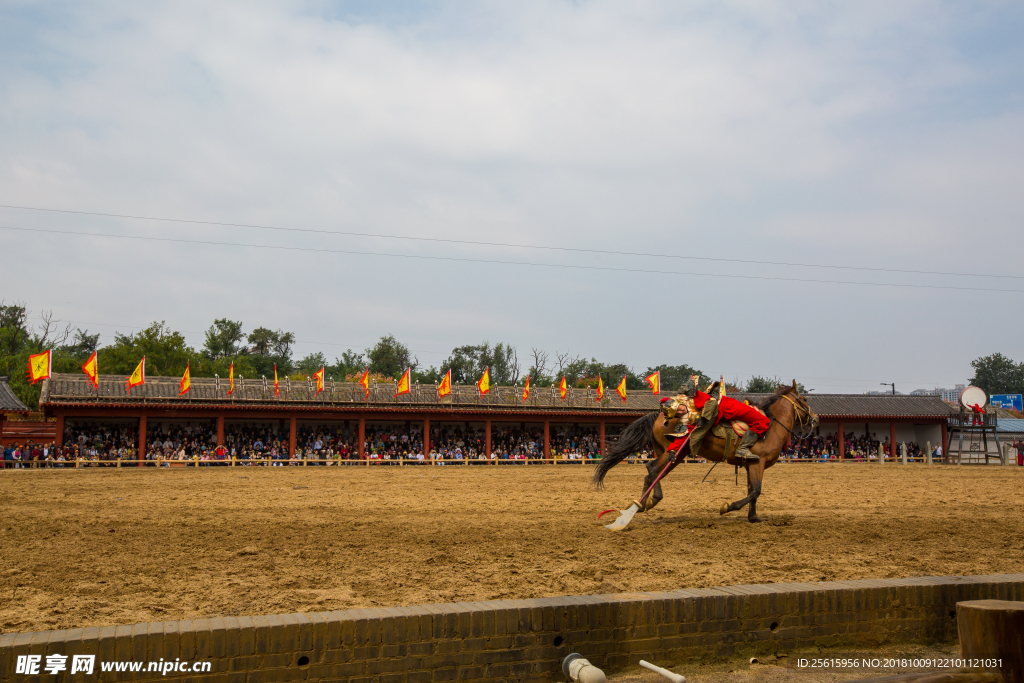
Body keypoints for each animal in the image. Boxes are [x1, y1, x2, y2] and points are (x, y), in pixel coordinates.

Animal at [593, 385, 815, 524]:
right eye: (804, 399)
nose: (815, 418)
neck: (771, 426)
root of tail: (658, 415)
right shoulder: (757, 463)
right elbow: (755, 491)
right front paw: (728, 507)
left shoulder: (750, 465)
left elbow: (753, 491)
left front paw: (753, 517)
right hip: (677, 453)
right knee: (652, 468)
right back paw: (647, 502)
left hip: (671, 453)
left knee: (653, 472)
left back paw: (642, 504)